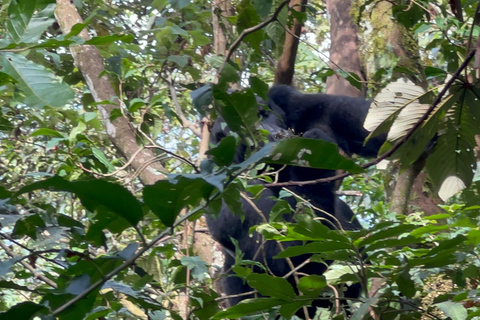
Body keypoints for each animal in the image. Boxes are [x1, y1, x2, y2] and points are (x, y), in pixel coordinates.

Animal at [204, 85, 384, 318]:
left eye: (262, 114)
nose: (271, 132)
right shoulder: (226, 196)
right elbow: (280, 257)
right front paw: (309, 164)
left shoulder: (293, 102)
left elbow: (365, 121)